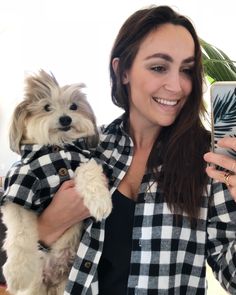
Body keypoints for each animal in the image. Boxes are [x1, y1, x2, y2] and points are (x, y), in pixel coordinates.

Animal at [0, 70, 112, 295]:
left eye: (74, 106)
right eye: (46, 107)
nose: (65, 118)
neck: (56, 149)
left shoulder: (84, 160)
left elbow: (89, 171)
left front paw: (100, 201)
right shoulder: (19, 187)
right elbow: (20, 234)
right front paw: (17, 272)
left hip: (63, 284)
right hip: (36, 286)